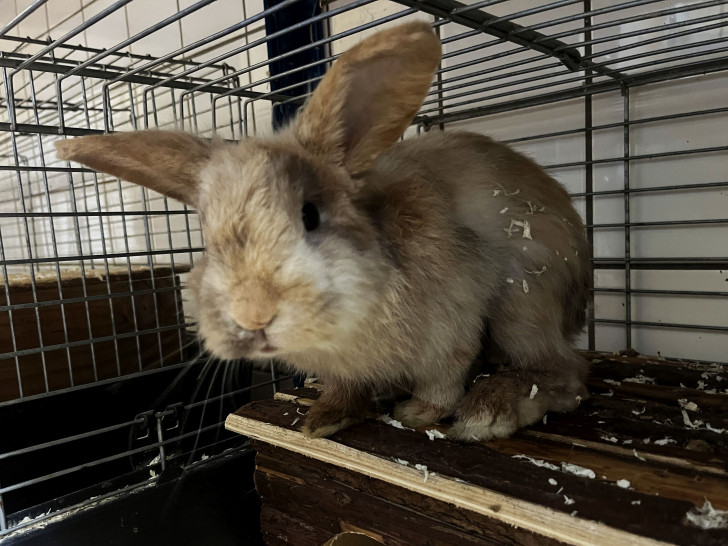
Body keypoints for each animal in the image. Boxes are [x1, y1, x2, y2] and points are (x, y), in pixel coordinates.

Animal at [55, 21, 591, 442]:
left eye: (310, 215)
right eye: (207, 235)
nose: (252, 315)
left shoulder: (453, 325)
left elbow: (443, 380)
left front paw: (418, 413)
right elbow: (346, 389)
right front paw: (324, 418)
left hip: (524, 305)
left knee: (566, 375)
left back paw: (491, 409)